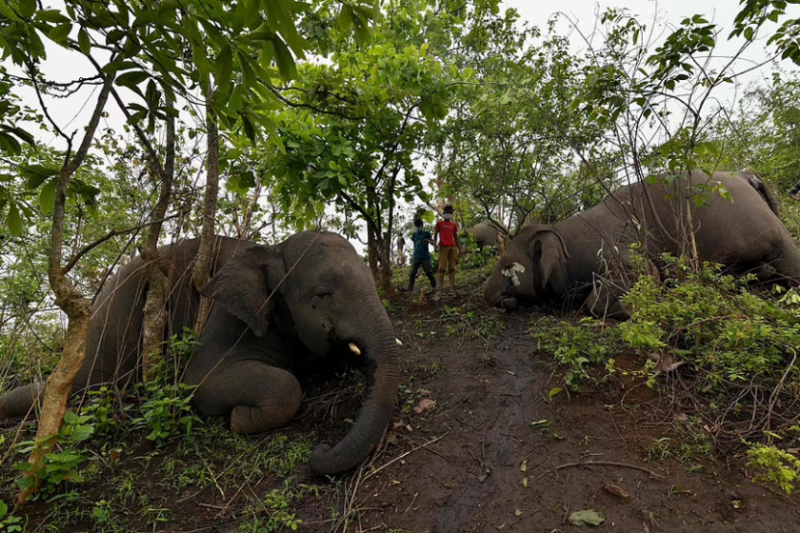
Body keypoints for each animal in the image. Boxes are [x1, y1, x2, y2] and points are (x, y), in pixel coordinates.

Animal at [0, 230, 400, 474]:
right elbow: (205, 379)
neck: (271, 248)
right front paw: (239, 418)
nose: (321, 448)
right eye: (322, 294)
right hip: (111, 322)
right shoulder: (224, 314)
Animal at [484, 169, 800, 316]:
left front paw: (631, 308)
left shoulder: (609, 246)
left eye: (507, 266)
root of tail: (743, 175)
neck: (557, 229)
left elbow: (643, 272)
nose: (491, 297)